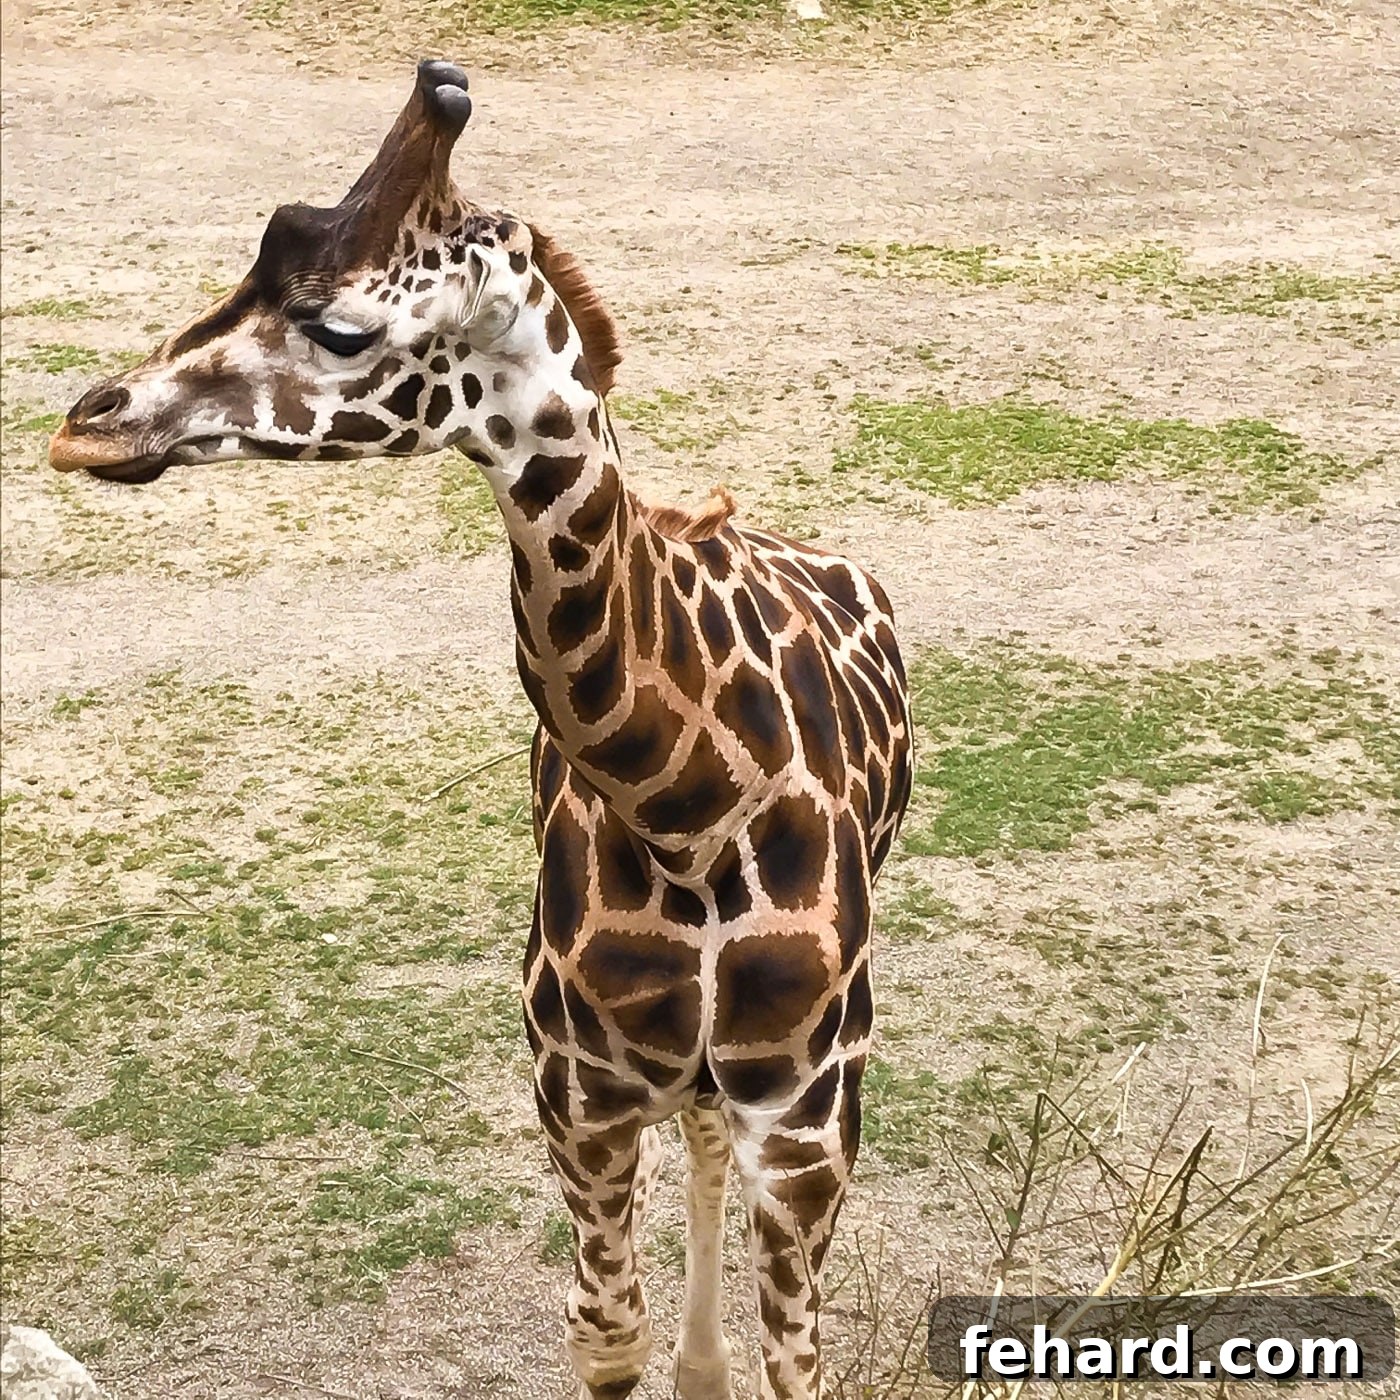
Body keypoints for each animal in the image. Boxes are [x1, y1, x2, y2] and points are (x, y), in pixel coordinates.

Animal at [49, 62, 913, 1400]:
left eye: (341, 328)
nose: (87, 422)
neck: (686, 812)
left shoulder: (811, 1118)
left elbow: (793, 1359)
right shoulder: (579, 1092)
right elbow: (604, 1331)